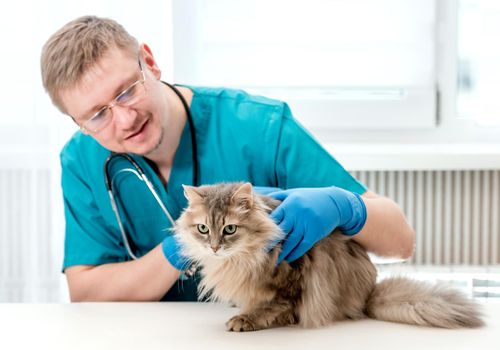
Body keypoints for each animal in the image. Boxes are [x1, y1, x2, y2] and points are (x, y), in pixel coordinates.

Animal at [173, 182, 484, 332]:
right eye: (203, 229)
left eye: (229, 229)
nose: (214, 247)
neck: (239, 258)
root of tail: (369, 294)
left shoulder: (292, 277)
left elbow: (276, 305)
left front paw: (249, 318)